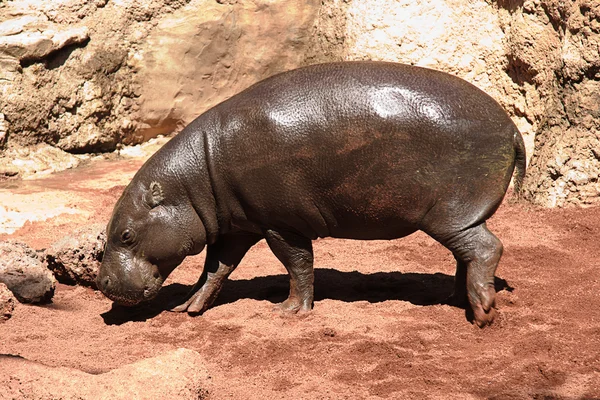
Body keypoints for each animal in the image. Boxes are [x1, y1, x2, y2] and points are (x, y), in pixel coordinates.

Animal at [97, 61, 524, 326]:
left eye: (126, 235)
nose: (101, 283)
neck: (193, 178)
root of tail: (512, 127)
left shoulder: (280, 223)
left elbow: (298, 265)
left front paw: (289, 312)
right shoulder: (235, 226)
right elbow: (215, 269)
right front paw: (187, 308)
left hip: (449, 212)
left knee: (486, 248)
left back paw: (483, 313)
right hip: (458, 216)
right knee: (467, 252)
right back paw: (460, 301)